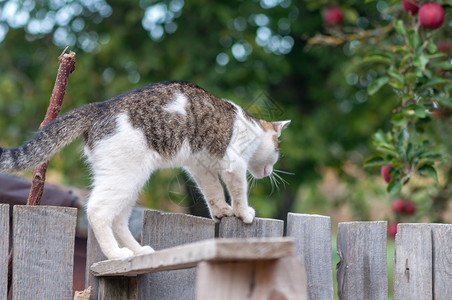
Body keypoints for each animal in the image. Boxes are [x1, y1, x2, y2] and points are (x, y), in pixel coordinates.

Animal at [0, 81, 290, 258]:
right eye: (277, 148)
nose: (271, 170)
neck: (251, 127)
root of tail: (100, 106)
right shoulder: (233, 164)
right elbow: (238, 191)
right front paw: (244, 213)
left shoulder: (200, 166)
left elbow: (213, 192)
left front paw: (221, 212)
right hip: (126, 177)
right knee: (97, 211)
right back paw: (116, 254)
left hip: (130, 180)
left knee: (119, 220)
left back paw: (138, 252)